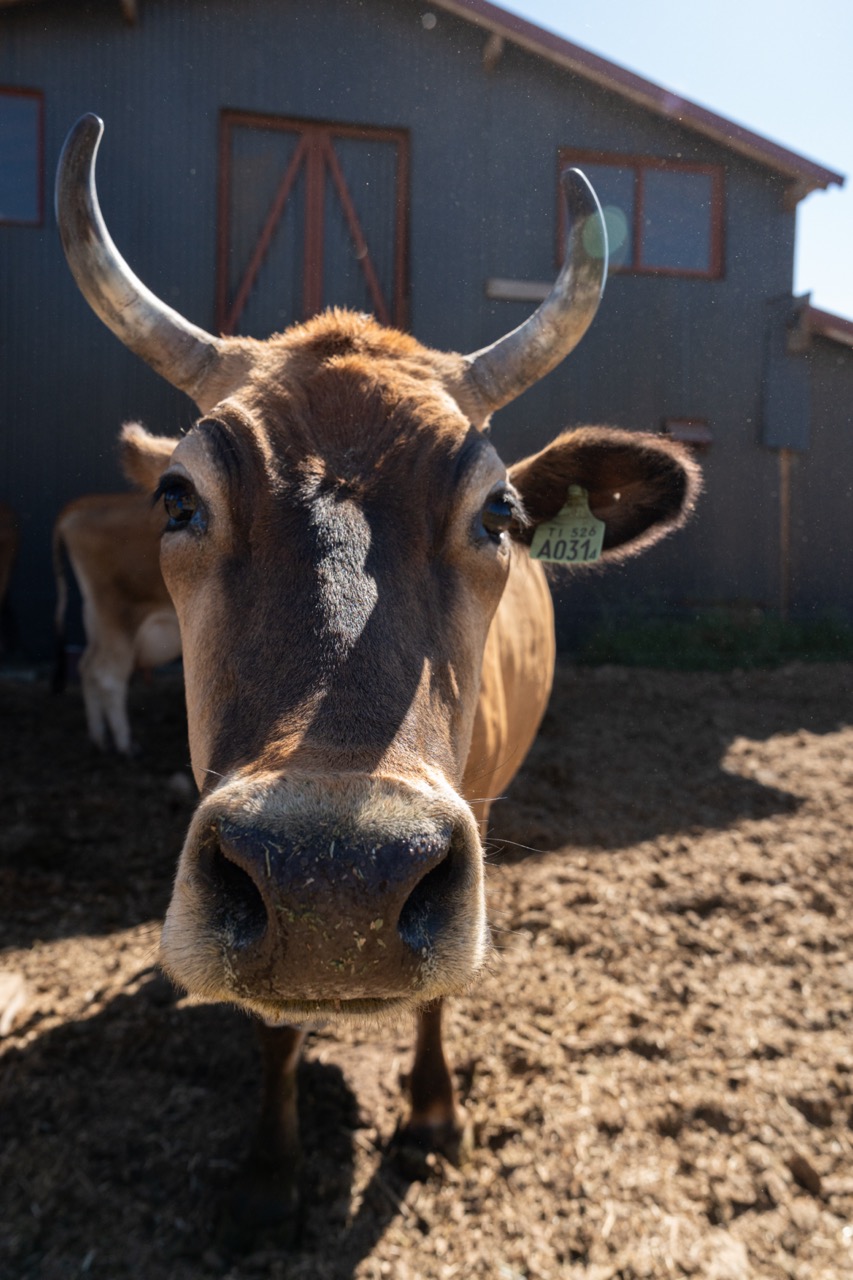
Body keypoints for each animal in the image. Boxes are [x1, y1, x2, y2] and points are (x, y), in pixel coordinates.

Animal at [52, 485, 181, 754]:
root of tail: (83, 504)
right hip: (119, 613)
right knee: (109, 674)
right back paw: (126, 746)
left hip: (95, 614)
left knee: (88, 666)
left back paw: (99, 738)